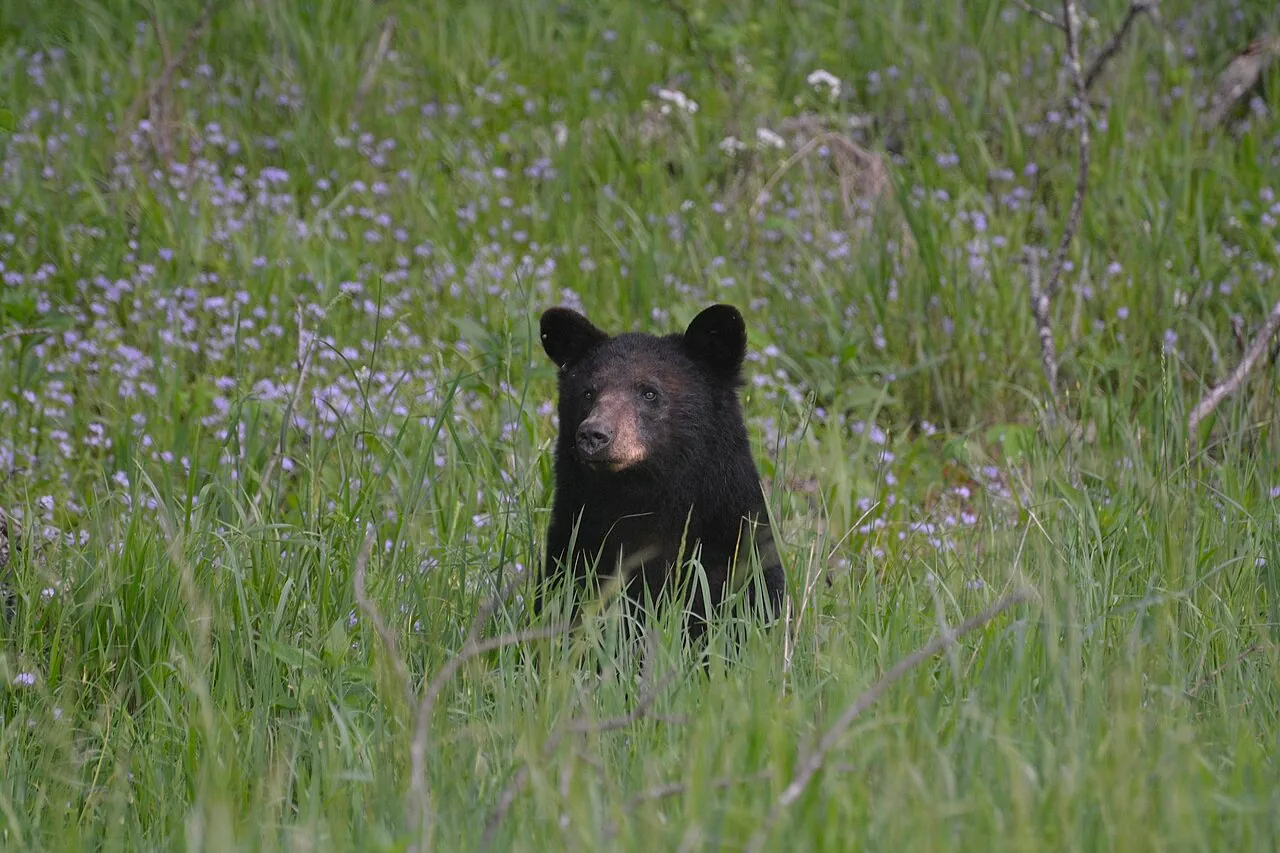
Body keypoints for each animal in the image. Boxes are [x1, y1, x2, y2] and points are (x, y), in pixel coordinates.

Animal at [534, 303, 786, 654]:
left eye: (650, 392)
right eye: (588, 392)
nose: (594, 434)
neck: (643, 499)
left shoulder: (733, 554)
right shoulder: (576, 547)